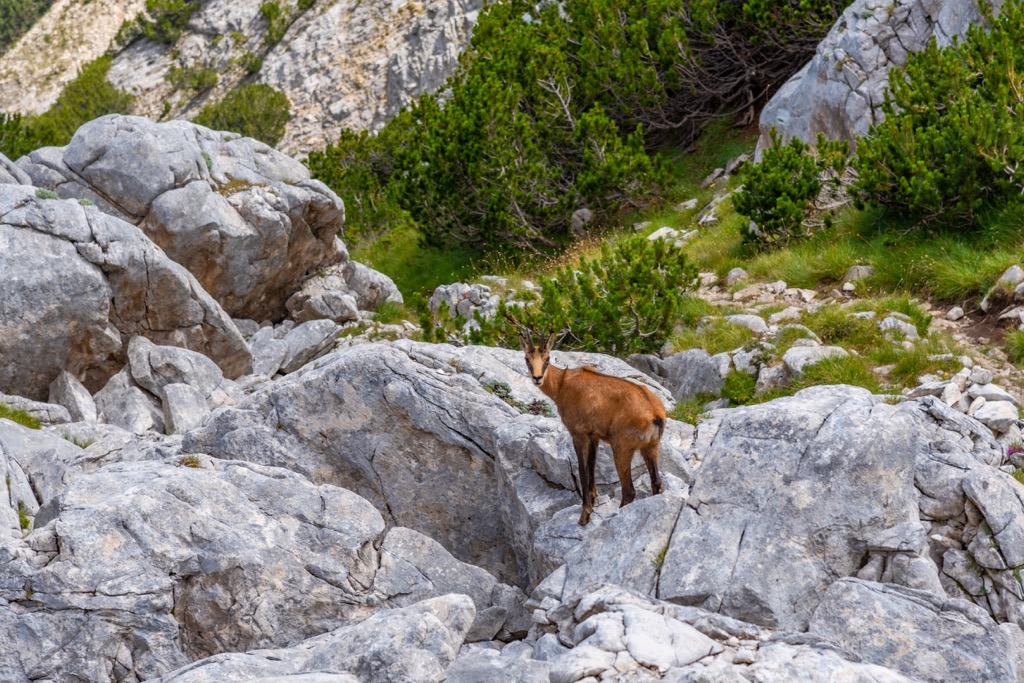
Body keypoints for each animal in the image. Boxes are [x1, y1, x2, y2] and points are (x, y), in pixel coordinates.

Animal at [515, 328, 666, 525]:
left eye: (547, 358)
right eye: (527, 358)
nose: (537, 378)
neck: (563, 383)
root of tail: (655, 413)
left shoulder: (578, 434)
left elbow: (582, 469)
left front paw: (585, 514)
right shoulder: (594, 436)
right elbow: (592, 465)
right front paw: (594, 498)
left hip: (622, 448)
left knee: (629, 491)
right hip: (651, 447)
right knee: (656, 482)